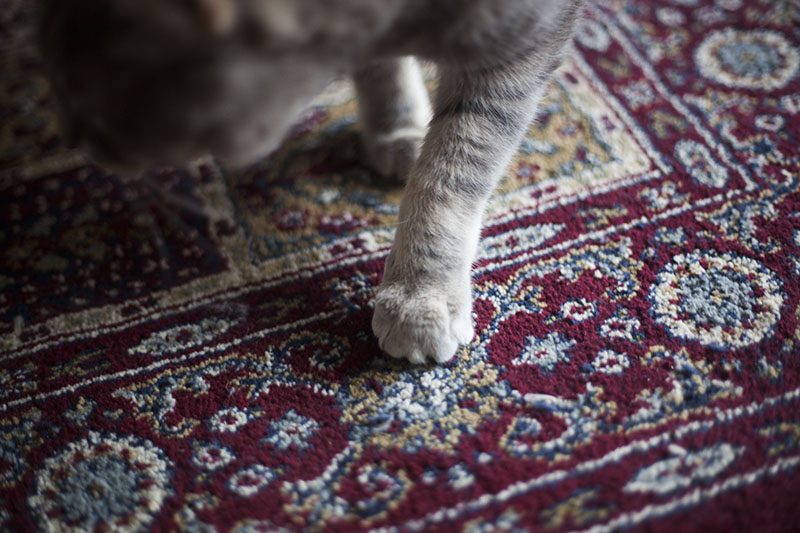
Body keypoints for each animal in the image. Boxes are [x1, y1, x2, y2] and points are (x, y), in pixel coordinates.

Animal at [37, 0, 584, 364]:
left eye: (84, 89)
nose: (68, 134)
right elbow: (377, 62)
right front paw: (397, 127)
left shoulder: (524, 43)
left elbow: (451, 170)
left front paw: (420, 295)